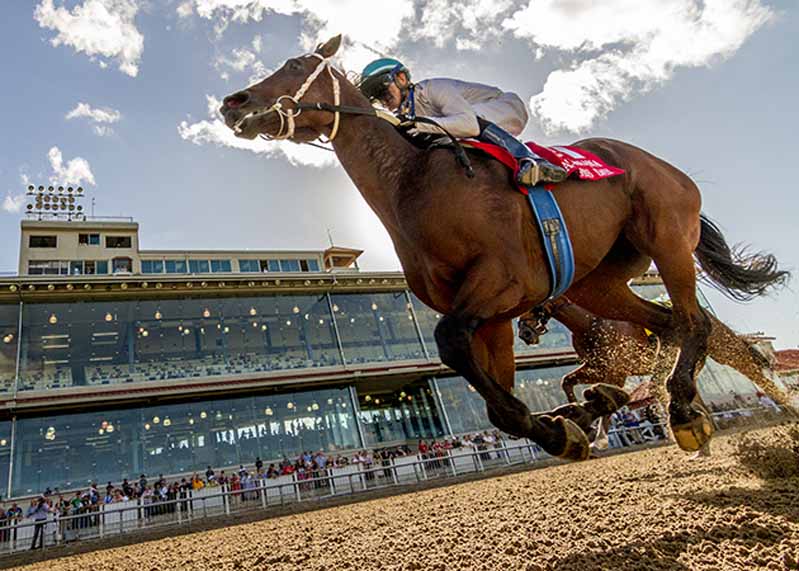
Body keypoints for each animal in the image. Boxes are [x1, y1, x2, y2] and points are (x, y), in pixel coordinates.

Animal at [219, 35, 788, 461]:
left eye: (295, 64)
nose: (233, 103)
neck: (414, 182)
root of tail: (665, 165)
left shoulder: (503, 282)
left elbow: (450, 342)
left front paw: (565, 424)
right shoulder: (491, 316)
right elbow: (497, 399)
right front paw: (563, 429)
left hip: (666, 238)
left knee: (695, 322)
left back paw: (687, 410)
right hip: (600, 282)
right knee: (668, 324)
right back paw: (650, 402)